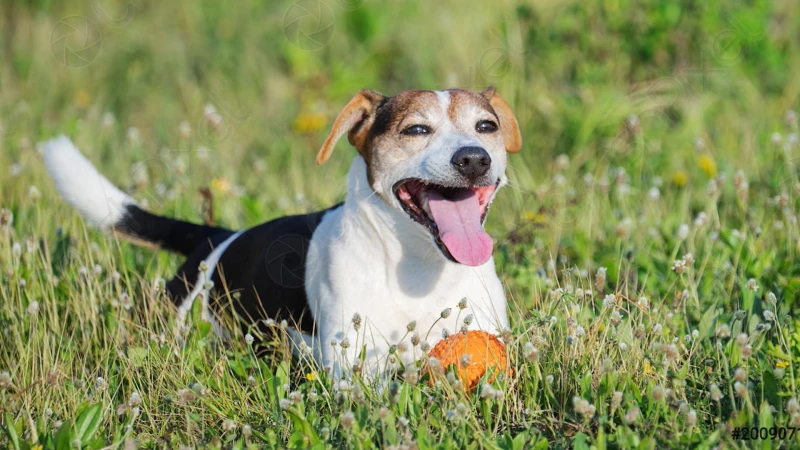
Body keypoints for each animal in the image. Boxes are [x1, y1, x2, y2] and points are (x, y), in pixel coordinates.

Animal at [43, 87, 520, 380]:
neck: (420, 267)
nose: (474, 159)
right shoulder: (353, 371)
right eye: (416, 129)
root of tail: (214, 238)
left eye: (486, 126)